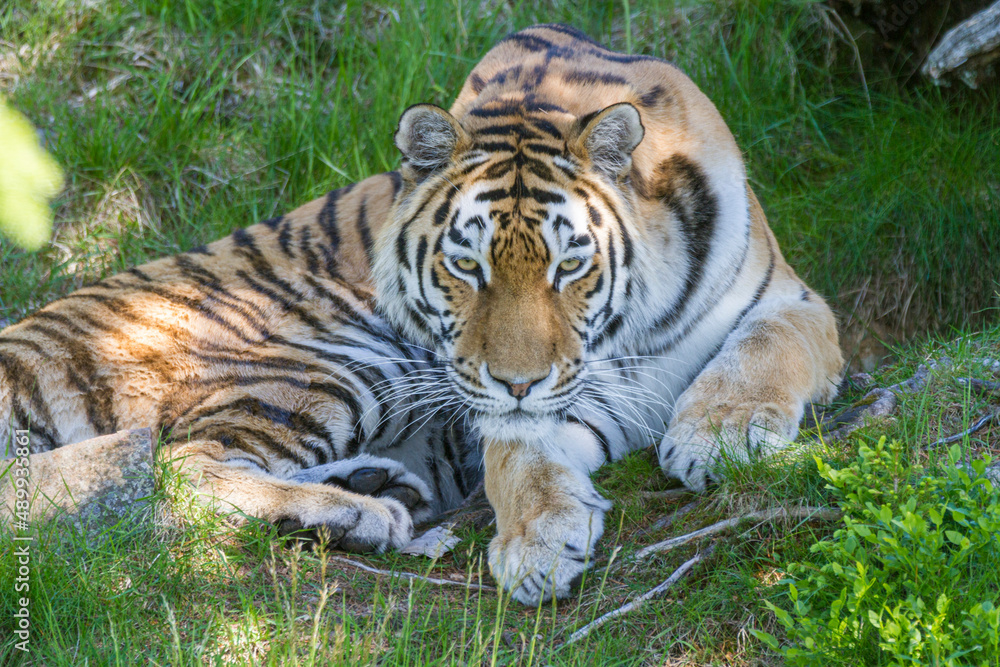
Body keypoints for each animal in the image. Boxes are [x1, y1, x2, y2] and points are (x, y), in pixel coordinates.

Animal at [0, 24, 843, 605]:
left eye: (569, 265)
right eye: (466, 266)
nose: (516, 382)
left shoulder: (792, 299)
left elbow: (765, 345)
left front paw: (721, 434)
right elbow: (519, 453)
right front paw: (537, 541)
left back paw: (374, 489)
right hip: (324, 360)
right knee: (180, 469)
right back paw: (359, 515)